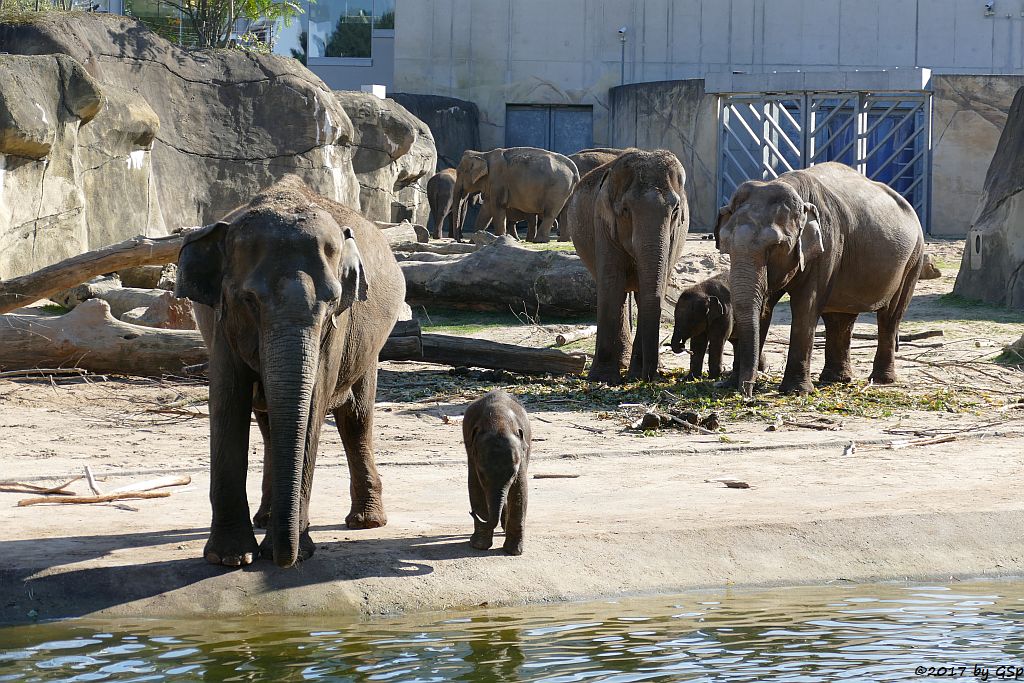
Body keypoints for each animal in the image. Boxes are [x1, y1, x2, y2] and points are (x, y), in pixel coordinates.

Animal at [176, 178, 403, 573]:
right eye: (249, 300)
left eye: (332, 302)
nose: (282, 559)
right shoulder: (221, 319)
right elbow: (227, 399)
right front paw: (229, 558)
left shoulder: (337, 327)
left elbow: (313, 403)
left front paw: (295, 549)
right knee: (268, 421)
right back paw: (267, 519)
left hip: (369, 349)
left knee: (356, 418)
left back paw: (366, 522)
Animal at [462, 389, 532, 557]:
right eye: (482, 474)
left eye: (513, 474)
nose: (472, 513)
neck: (499, 422)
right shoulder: (472, 453)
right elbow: (474, 485)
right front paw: (479, 546)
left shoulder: (522, 454)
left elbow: (520, 490)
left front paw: (513, 552)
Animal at [569, 149, 688, 385]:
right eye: (625, 210)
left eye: (675, 210)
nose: (649, 379)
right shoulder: (602, 223)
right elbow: (611, 283)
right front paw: (603, 378)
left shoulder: (674, 235)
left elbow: (652, 289)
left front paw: (635, 375)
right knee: (618, 292)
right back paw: (622, 366)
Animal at [716, 163, 925, 397]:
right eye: (725, 244)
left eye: (775, 246)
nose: (747, 393)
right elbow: (763, 306)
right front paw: (729, 383)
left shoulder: (827, 243)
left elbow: (806, 305)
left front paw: (796, 391)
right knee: (840, 318)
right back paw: (836, 379)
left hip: (913, 259)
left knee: (890, 315)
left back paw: (881, 380)